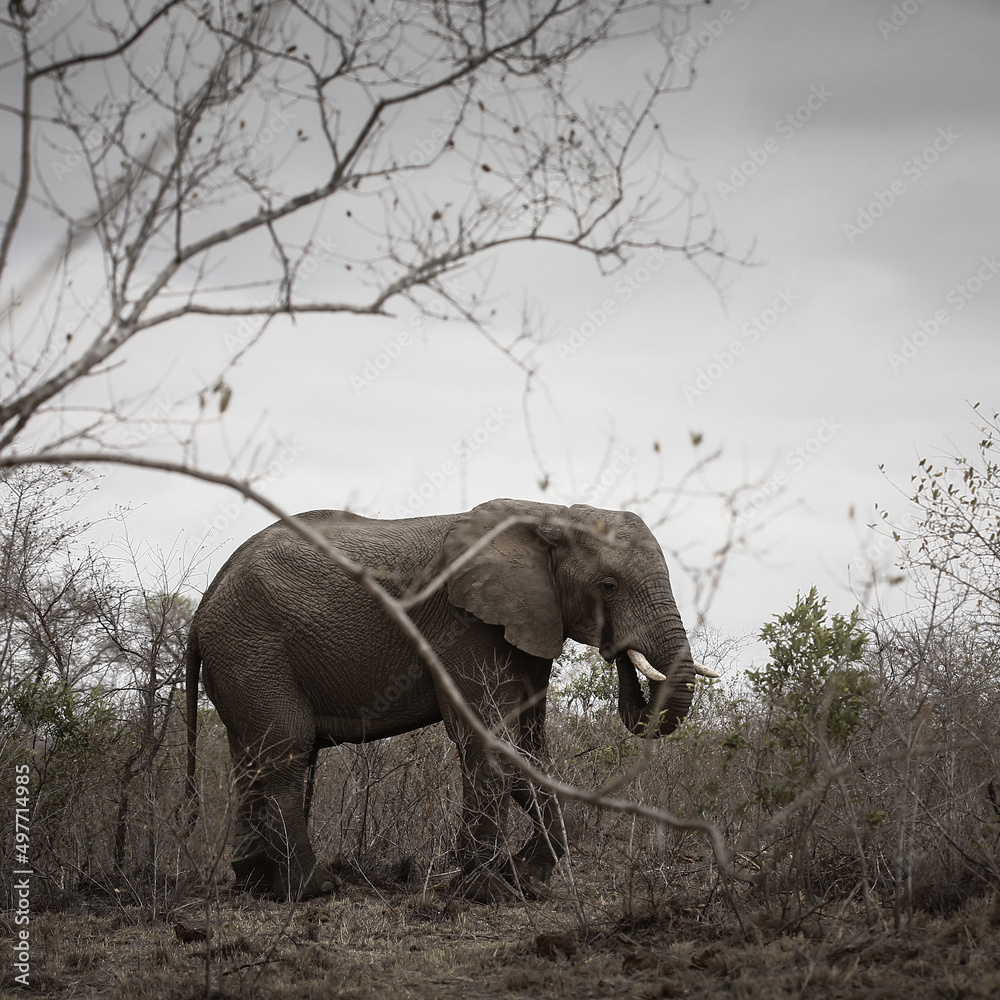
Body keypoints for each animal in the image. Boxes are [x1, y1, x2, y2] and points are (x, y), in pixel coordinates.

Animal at [185, 498, 712, 902]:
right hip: (253, 646)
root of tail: (207, 599)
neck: (547, 516)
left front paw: (525, 881)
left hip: (242, 655)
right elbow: (485, 739)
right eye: (608, 586)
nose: (621, 652)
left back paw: (255, 886)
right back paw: (314, 890)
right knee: (288, 751)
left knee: (253, 757)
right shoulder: (468, 626)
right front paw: (490, 893)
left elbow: (530, 749)